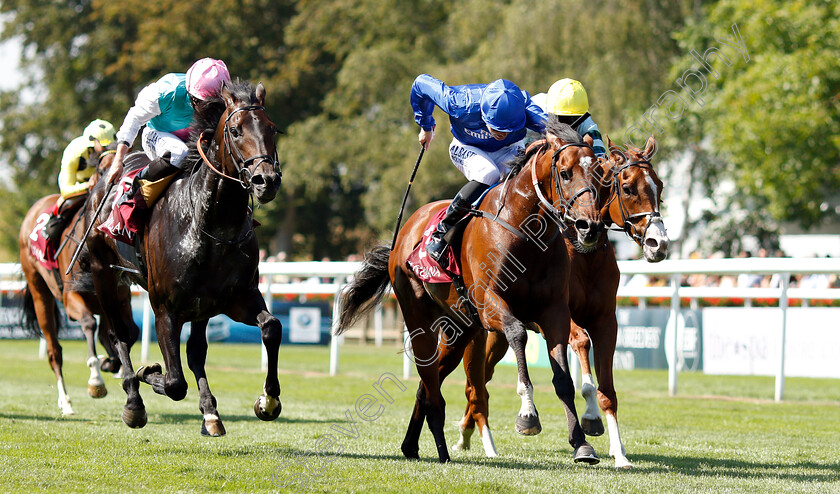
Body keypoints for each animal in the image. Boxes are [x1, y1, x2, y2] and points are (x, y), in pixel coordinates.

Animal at [18, 148, 133, 416]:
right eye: (100, 170)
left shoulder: (121, 298)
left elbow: (128, 332)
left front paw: (111, 363)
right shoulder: (71, 297)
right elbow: (89, 324)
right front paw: (96, 381)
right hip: (41, 294)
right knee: (54, 352)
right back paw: (66, 402)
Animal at [83, 79, 284, 434]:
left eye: (271, 128)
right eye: (235, 130)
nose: (267, 181)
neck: (210, 222)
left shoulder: (234, 297)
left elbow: (271, 327)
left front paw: (267, 401)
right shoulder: (165, 308)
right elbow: (175, 382)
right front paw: (146, 372)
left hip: (196, 305)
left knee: (192, 351)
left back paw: (210, 413)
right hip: (104, 275)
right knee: (120, 335)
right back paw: (133, 400)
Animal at [338, 117, 608, 466]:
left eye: (598, 172)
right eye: (565, 173)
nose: (591, 226)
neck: (523, 232)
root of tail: (406, 230)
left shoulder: (554, 312)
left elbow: (563, 378)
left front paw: (581, 443)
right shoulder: (490, 305)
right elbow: (517, 332)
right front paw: (528, 414)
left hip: (460, 330)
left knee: (428, 384)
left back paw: (411, 445)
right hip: (420, 319)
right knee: (430, 383)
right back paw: (440, 450)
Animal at [456, 137, 668, 468]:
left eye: (659, 186)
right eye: (628, 187)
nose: (659, 244)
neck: (586, 256)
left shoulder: (605, 319)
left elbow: (607, 389)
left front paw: (618, 451)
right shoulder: (562, 316)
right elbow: (581, 344)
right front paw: (590, 416)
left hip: (497, 338)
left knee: (482, 379)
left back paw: (467, 433)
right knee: (475, 381)